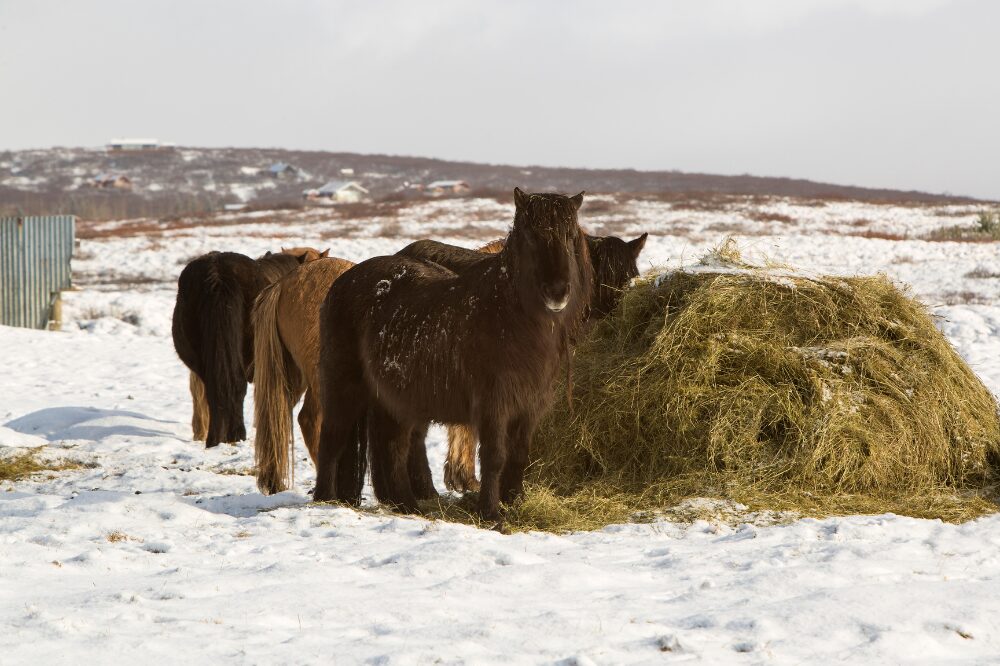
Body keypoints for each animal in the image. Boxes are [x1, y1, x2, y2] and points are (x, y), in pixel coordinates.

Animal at [314, 188, 593, 523]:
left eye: (569, 236)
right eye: (531, 235)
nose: (557, 292)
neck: (506, 314)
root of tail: (342, 282)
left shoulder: (528, 408)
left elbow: (519, 455)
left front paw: (516, 503)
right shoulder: (493, 406)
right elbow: (494, 457)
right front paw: (491, 514)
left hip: (393, 402)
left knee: (392, 448)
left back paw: (407, 505)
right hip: (344, 388)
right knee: (332, 439)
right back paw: (324, 500)